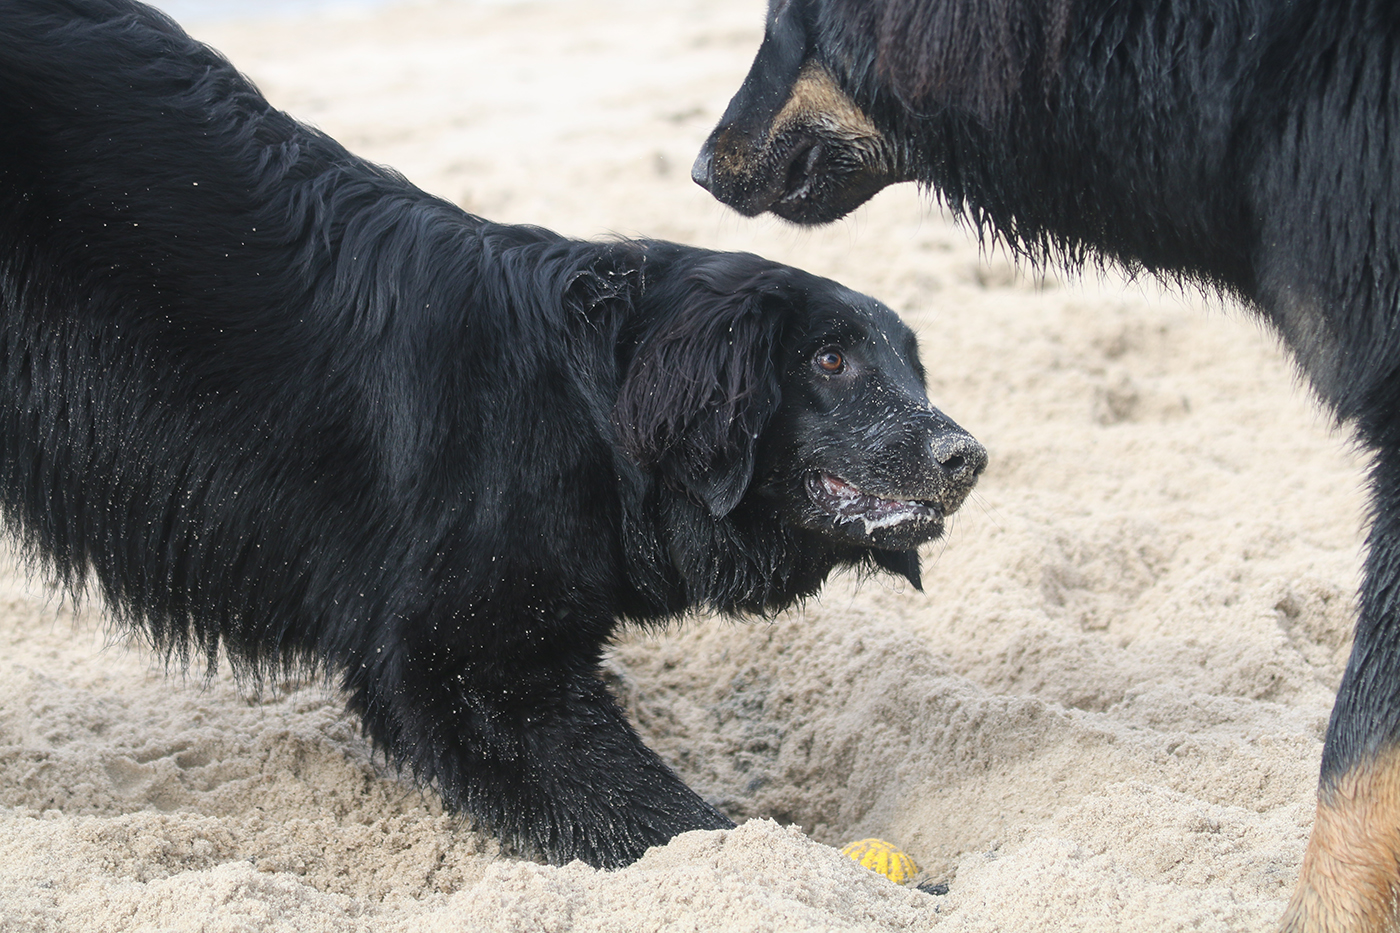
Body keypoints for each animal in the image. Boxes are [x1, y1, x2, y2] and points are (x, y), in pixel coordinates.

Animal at [0, 0, 985, 869]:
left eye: (911, 369)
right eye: (829, 360)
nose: (967, 458)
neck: (586, 402)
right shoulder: (467, 659)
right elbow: (656, 813)